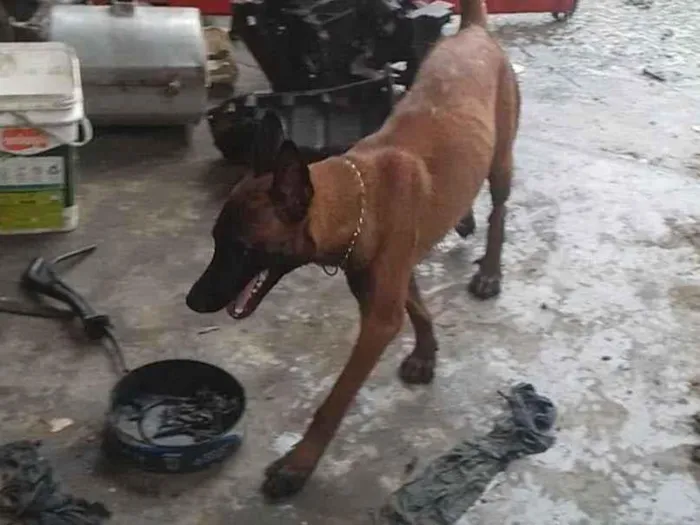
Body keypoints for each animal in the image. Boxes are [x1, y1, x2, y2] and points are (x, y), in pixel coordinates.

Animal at [186, 0, 520, 500]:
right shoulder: (386, 282)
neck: (361, 195)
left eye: (241, 247)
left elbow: (335, 399)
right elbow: (418, 308)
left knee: (499, 212)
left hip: (502, 160)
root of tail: (473, 31)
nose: (193, 300)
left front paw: (298, 465)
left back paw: (490, 271)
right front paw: (426, 352)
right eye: (214, 240)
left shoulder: (378, 319)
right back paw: (463, 218)